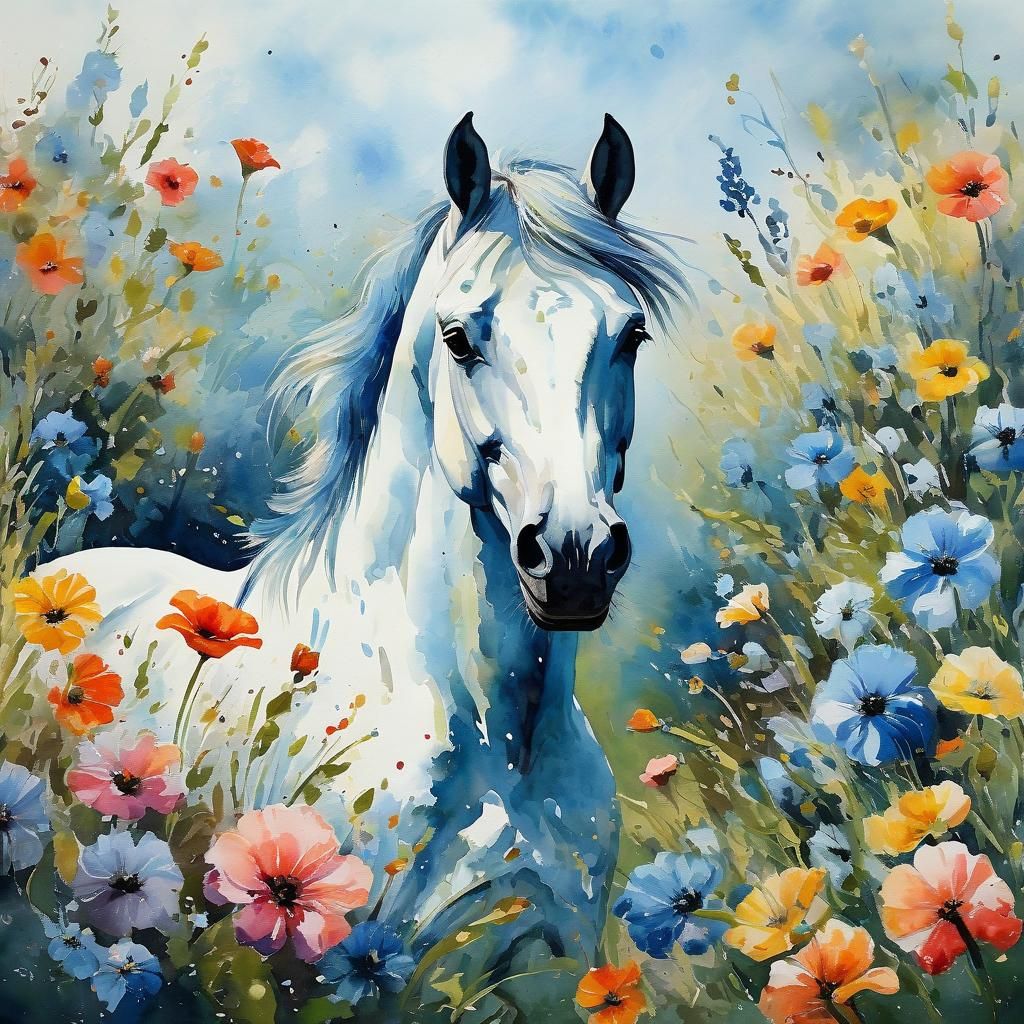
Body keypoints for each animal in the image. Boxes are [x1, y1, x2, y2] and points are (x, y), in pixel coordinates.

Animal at [31, 113, 686, 1018]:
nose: (576, 554)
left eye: (631, 333)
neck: (502, 745)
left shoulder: (558, 968)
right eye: (459, 337)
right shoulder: (358, 973)